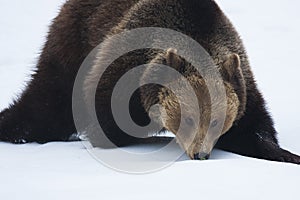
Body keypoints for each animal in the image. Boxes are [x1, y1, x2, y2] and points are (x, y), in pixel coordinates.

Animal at [0, 0, 300, 164]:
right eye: (188, 118)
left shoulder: (242, 85)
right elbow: (105, 126)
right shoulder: (118, 75)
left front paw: (286, 155)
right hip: (73, 43)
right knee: (47, 102)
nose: (200, 155)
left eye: (216, 121)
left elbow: (256, 131)